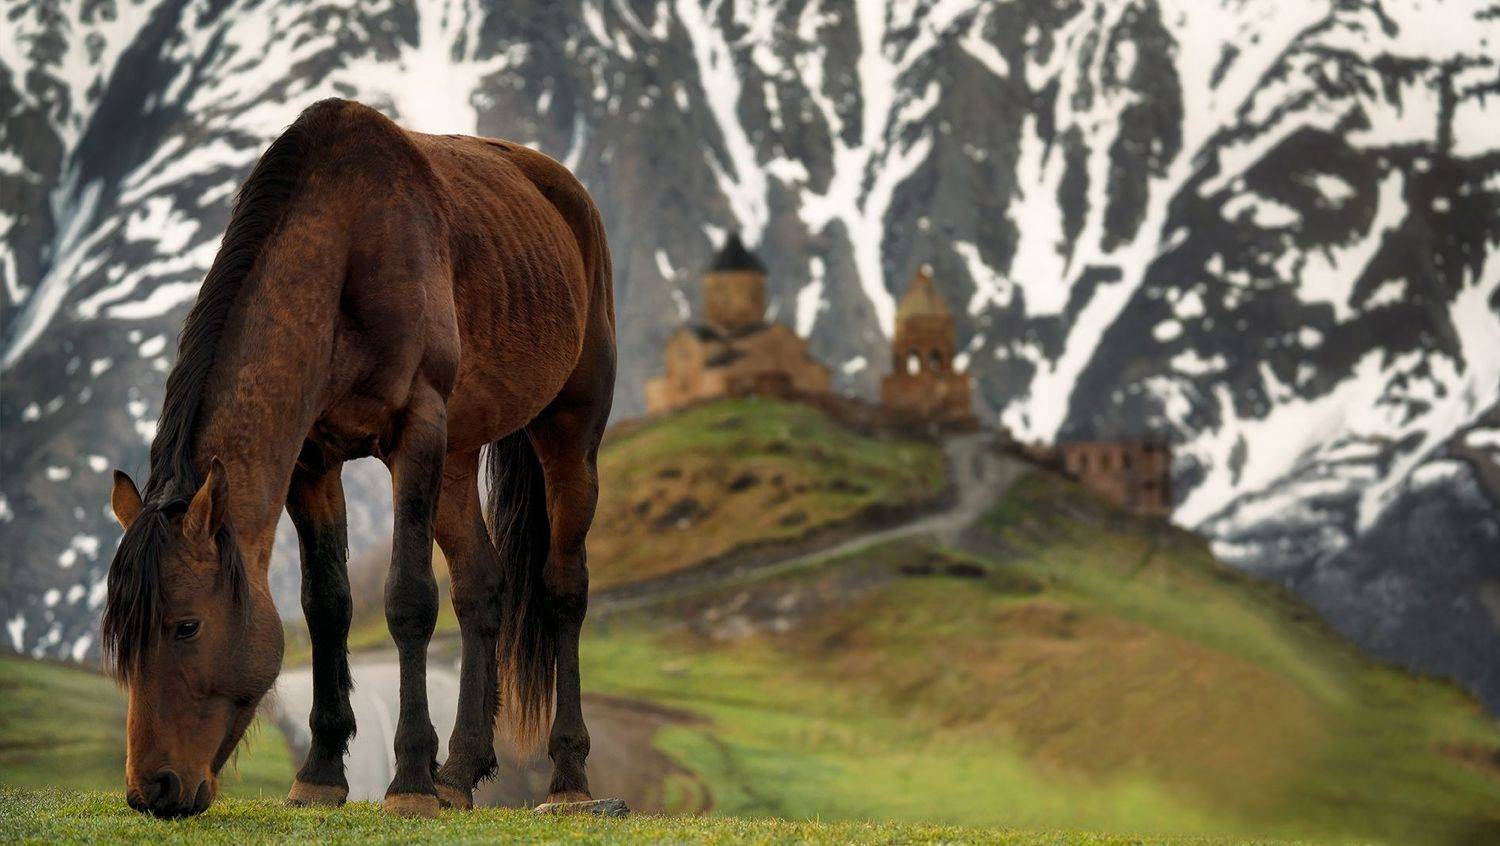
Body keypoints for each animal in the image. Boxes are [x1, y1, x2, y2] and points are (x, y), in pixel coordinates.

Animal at [102, 98, 615, 819]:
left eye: (186, 626)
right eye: (120, 637)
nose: (153, 791)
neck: (345, 248)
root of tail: (567, 194)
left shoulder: (416, 434)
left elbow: (408, 600)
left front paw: (409, 782)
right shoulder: (313, 462)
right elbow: (327, 605)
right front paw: (320, 773)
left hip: (569, 435)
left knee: (563, 589)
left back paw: (566, 779)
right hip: (457, 459)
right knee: (481, 589)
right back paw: (459, 772)